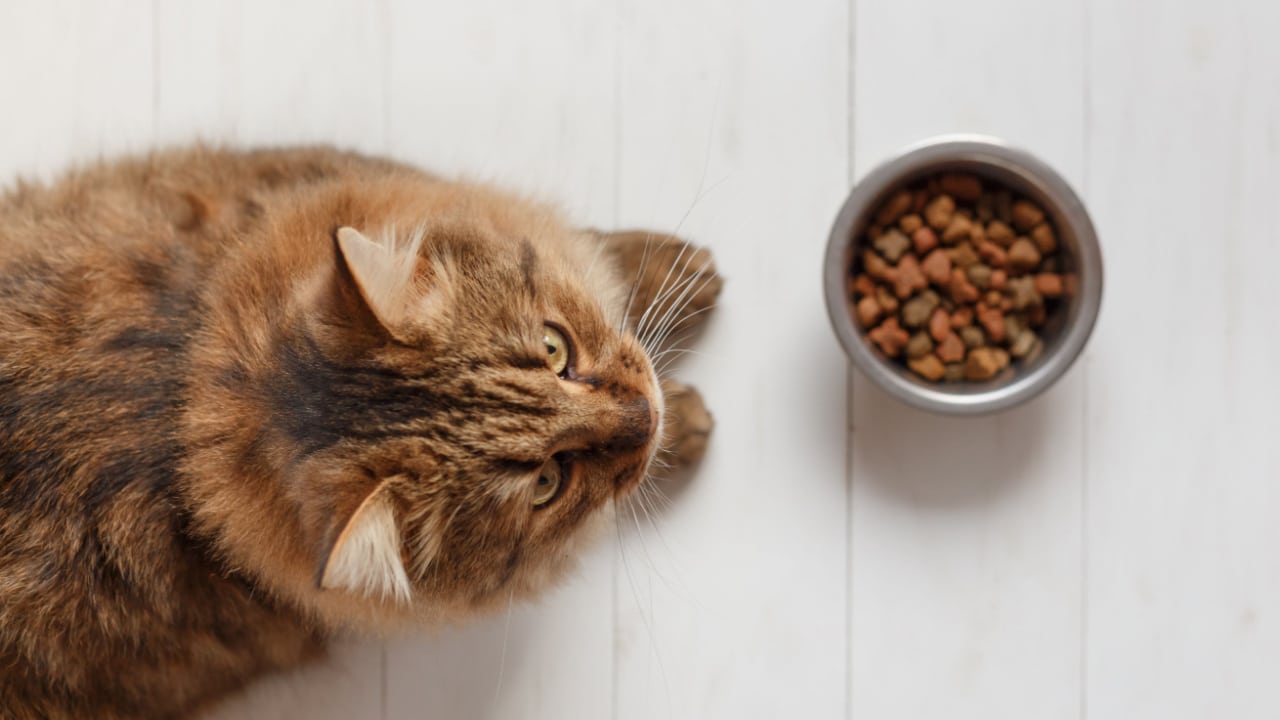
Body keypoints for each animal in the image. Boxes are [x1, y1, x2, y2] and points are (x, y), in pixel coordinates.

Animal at [0, 147, 721, 717]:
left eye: (554, 347)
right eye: (548, 481)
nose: (647, 415)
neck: (182, 393)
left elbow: (589, 248)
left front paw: (678, 272)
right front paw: (687, 424)